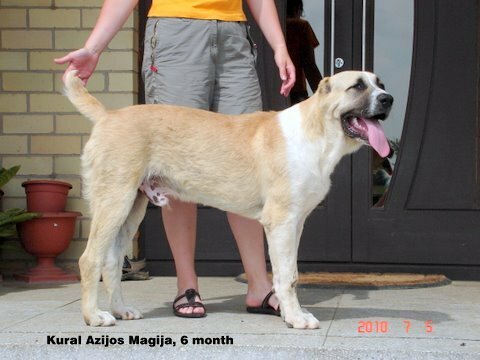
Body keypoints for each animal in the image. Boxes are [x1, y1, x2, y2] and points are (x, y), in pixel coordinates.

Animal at [64, 69, 394, 330]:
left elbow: (291, 274)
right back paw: (94, 316)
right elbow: (287, 275)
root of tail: (108, 116)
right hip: (114, 201)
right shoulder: (281, 222)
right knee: (90, 259)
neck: (318, 133)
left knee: (111, 261)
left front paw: (288, 312)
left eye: (379, 83)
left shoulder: (296, 223)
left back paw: (121, 310)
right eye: (358, 86)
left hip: (132, 208)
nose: (389, 99)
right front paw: (296, 318)